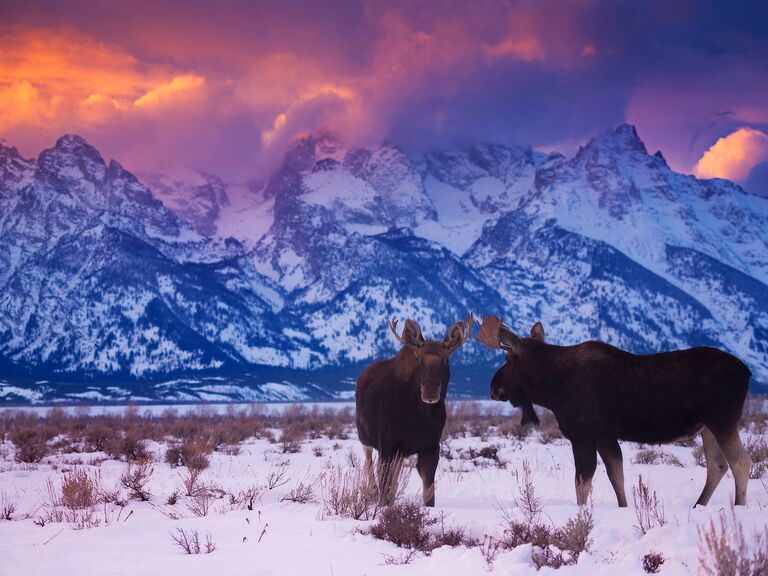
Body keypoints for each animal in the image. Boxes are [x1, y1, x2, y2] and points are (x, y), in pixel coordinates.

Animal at [356, 312, 474, 506]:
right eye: (417, 359)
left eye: (446, 360)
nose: (430, 391)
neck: (418, 418)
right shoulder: (386, 445)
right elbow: (384, 488)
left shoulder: (430, 448)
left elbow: (428, 495)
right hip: (365, 438)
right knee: (368, 464)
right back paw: (370, 492)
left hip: (399, 453)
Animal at [476, 316, 752, 508]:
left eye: (507, 359)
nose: (492, 388)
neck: (552, 389)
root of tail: (747, 372)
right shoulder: (605, 437)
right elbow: (616, 477)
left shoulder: (583, 434)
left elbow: (582, 482)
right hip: (708, 427)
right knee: (717, 466)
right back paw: (697, 507)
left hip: (723, 419)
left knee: (741, 462)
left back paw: (739, 508)